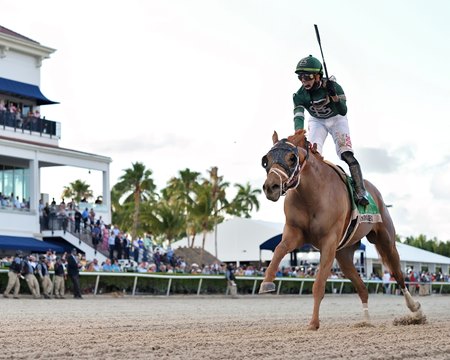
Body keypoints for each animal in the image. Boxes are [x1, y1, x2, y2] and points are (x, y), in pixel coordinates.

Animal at [260, 131, 422, 330]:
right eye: (266, 160)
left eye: (292, 158)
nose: (271, 187)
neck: (312, 194)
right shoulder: (294, 232)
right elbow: (279, 249)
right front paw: (266, 282)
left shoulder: (329, 241)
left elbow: (319, 284)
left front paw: (314, 323)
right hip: (344, 254)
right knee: (362, 287)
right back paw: (366, 320)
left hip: (386, 241)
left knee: (397, 275)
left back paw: (415, 310)